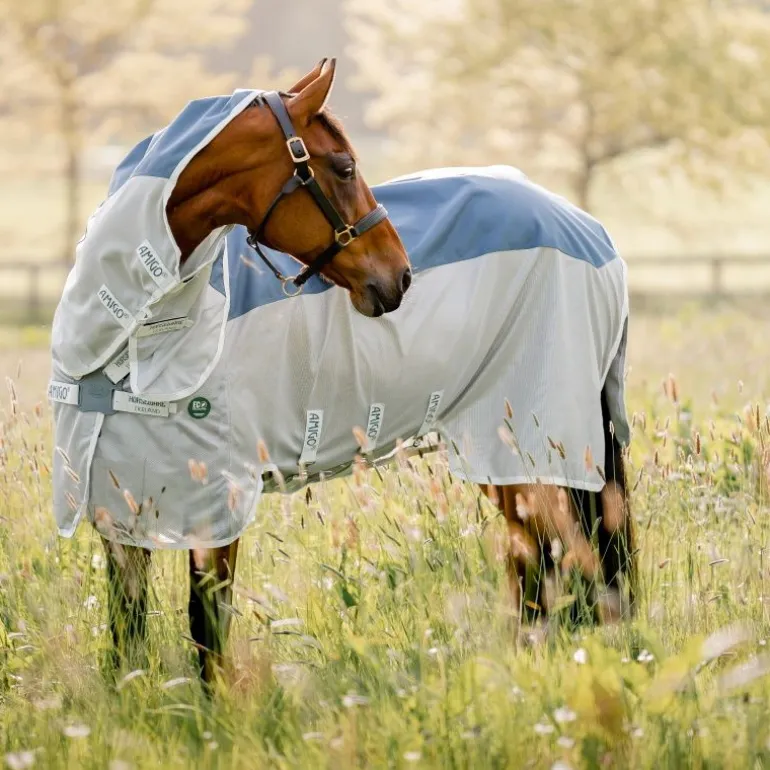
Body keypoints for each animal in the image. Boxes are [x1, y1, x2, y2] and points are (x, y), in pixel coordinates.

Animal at [48, 59, 635, 686]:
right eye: (345, 166)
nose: (400, 276)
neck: (130, 338)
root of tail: (592, 235)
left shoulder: (215, 505)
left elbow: (207, 625)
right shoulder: (116, 510)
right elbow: (126, 627)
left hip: (528, 449)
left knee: (554, 562)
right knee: (543, 567)